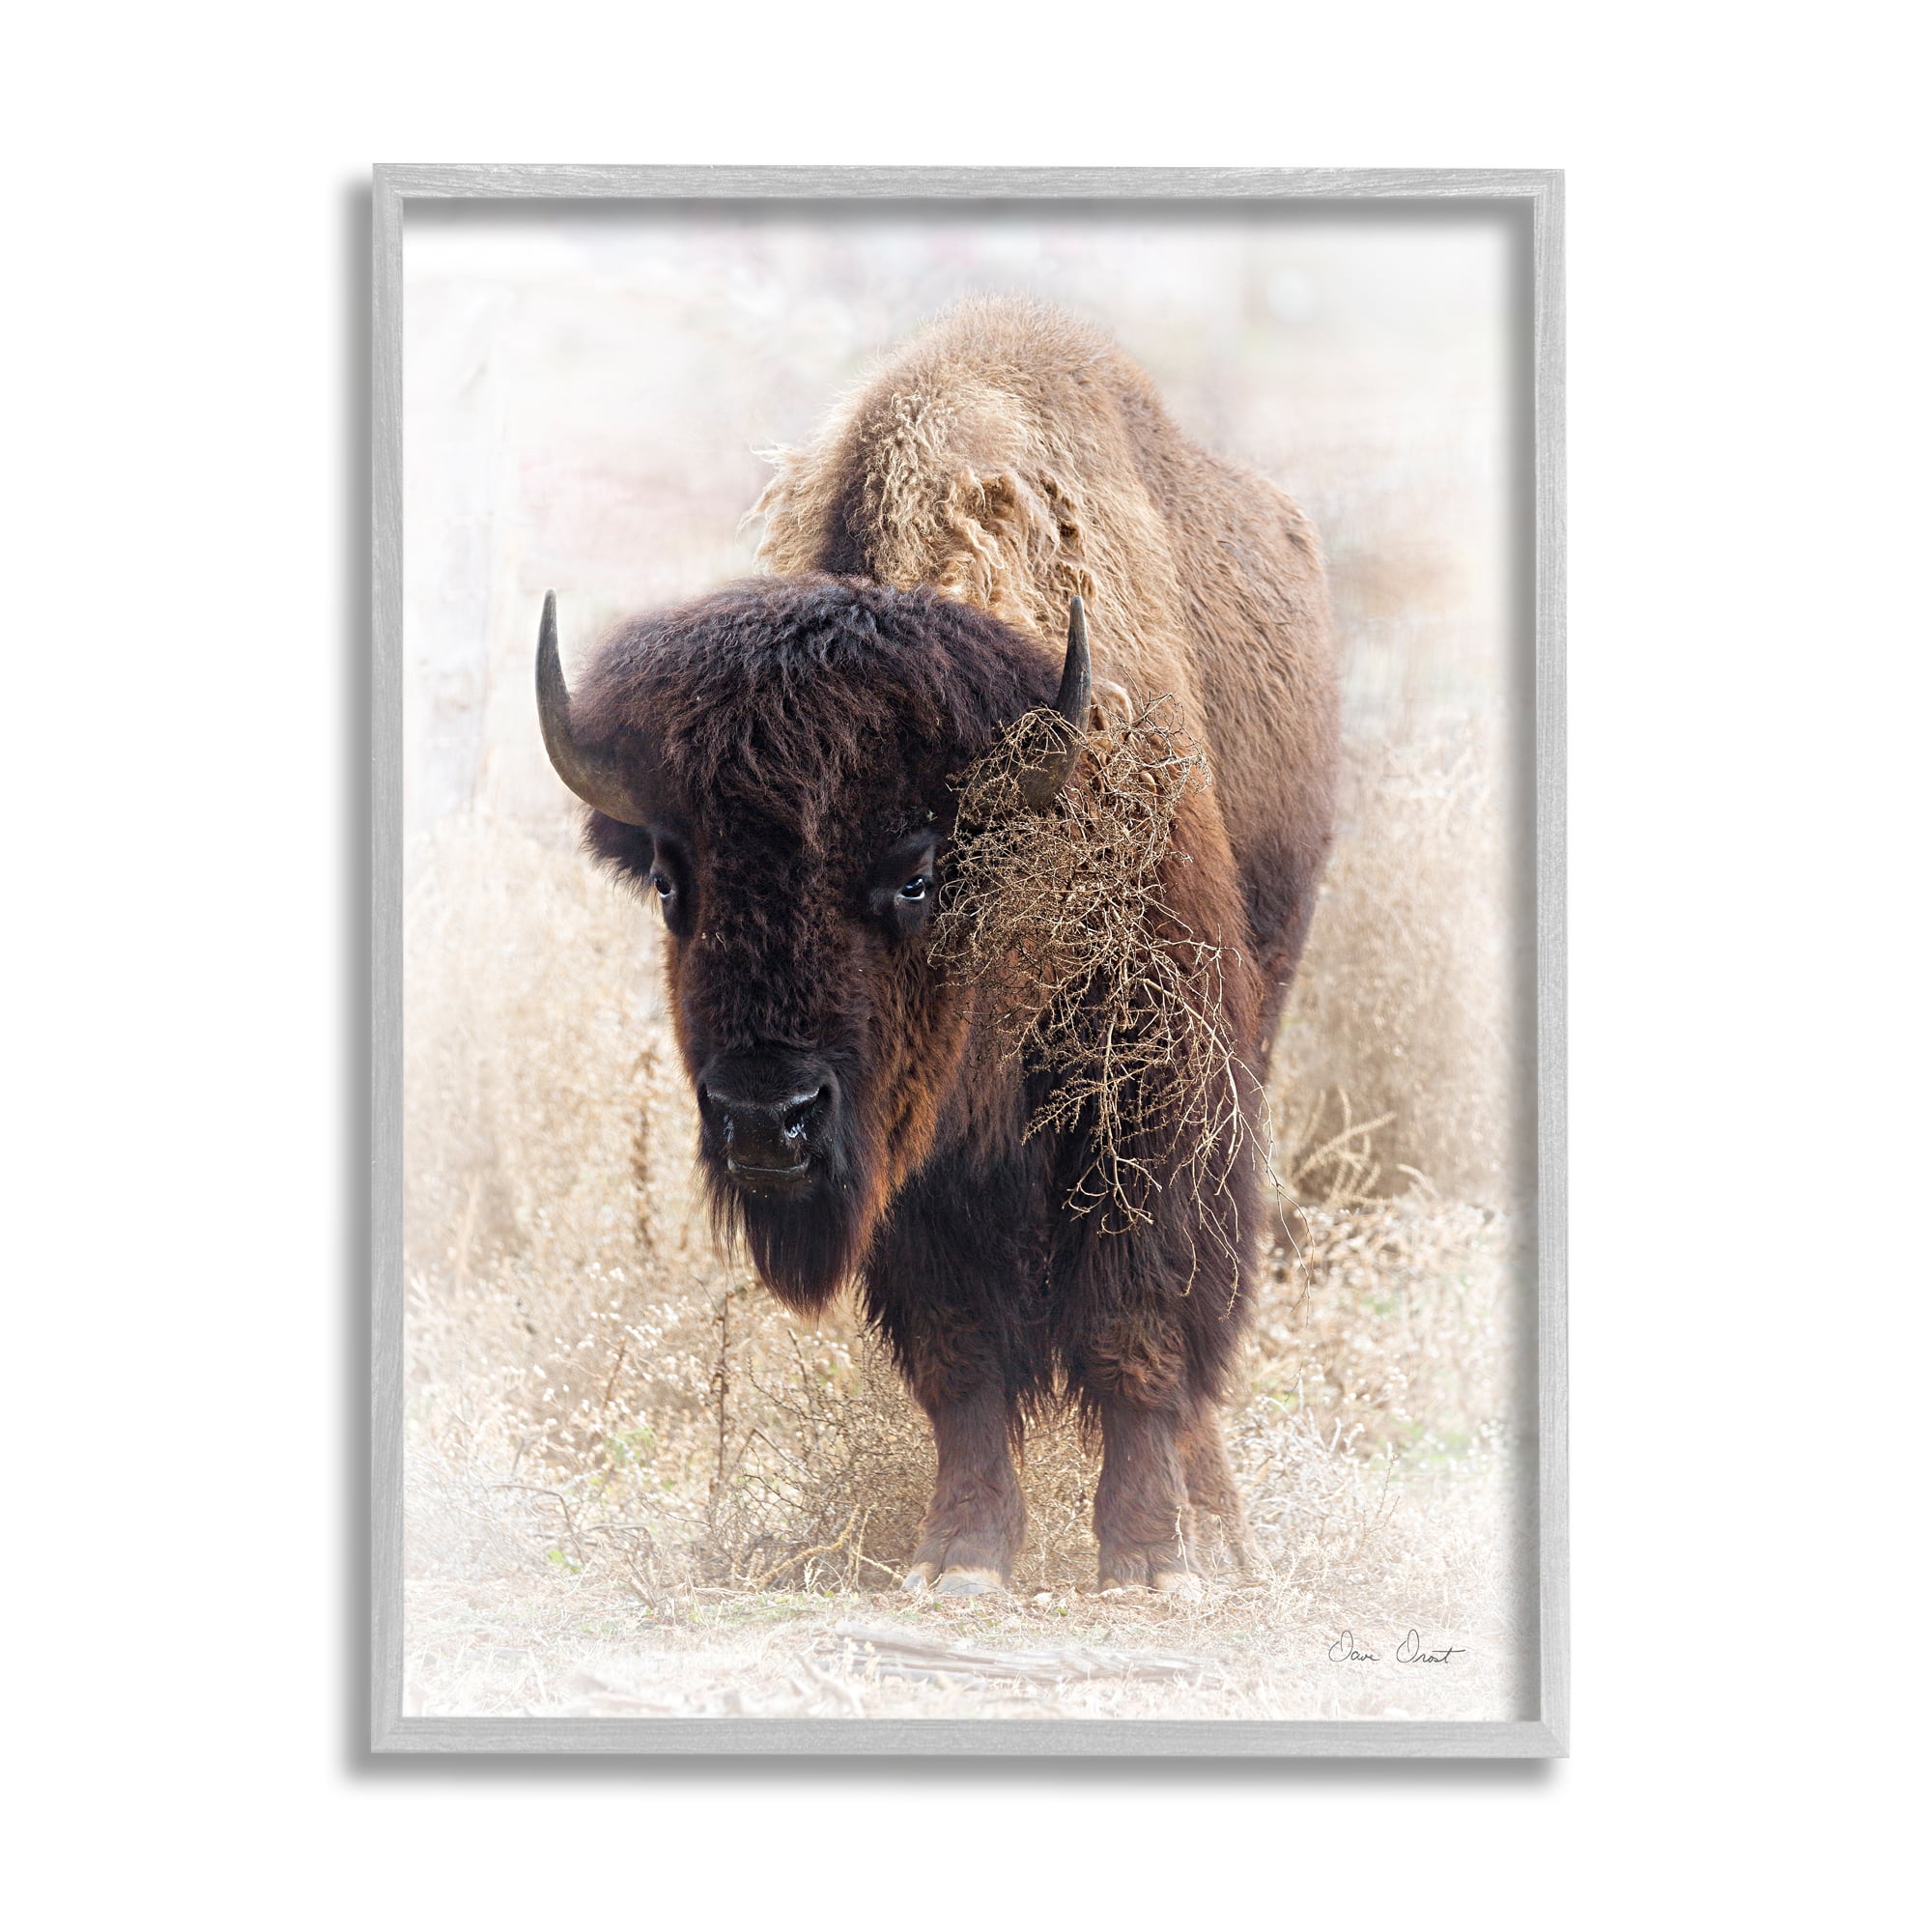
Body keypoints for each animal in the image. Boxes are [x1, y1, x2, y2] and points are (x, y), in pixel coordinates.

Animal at [536, 298, 1338, 1596]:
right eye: (669, 880)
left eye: (915, 872)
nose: (765, 1118)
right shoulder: (917, 1166)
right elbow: (959, 1352)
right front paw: (961, 1551)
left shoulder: (1152, 1100)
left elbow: (1137, 1323)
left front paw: (1146, 1556)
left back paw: (1217, 1530)